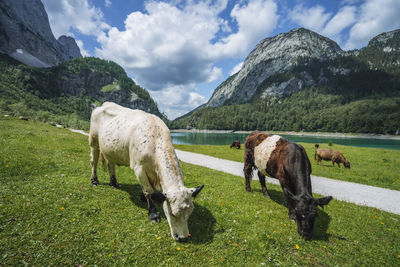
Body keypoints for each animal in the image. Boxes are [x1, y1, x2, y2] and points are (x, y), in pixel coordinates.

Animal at [89, 101, 205, 242]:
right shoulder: (138, 168)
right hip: (93, 140)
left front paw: (143, 198)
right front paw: (153, 214)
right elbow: (148, 191)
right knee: (94, 161)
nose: (183, 238)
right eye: (172, 214)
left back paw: (114, 183)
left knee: (111, 164)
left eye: (190, 213)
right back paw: (94, 181)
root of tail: (104, 104)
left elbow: (149, 190)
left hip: (110, 149)